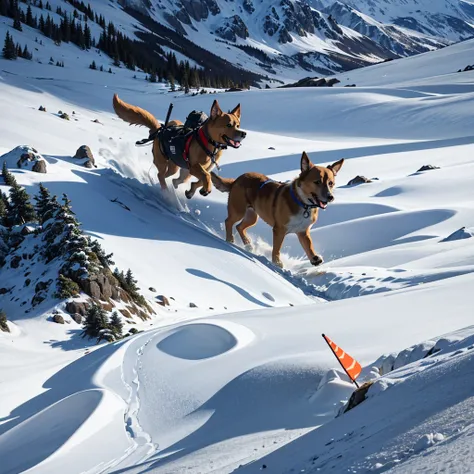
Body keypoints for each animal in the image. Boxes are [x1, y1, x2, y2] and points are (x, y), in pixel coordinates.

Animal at [111, 94, 244, 198]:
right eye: (228, 125)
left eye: (238, 125)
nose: (244, 134)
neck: (210, 144)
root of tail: (160, 130)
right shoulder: (194, 167)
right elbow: (206, 176)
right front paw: (205, 189)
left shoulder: (202, 169)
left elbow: (204, 178)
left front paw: (194, 190)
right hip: (164, 161)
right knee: (161, 175)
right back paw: (166, 191)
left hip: (176, 166)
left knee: (172, 177)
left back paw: (173, 185)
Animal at [213, 154, 342, 268]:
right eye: (317, 182)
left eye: (331, 183)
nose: (330, 197)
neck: (303, 203)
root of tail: (236, 180)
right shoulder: (279, 230)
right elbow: (277, 247)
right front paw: (277, 262)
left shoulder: (303, 232)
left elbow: (309, 246)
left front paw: (314, 258)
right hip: (239, 210)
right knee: (229, 222)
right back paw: (230, 240)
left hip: (252, 216)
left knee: (239, 226)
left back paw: (248, 245)